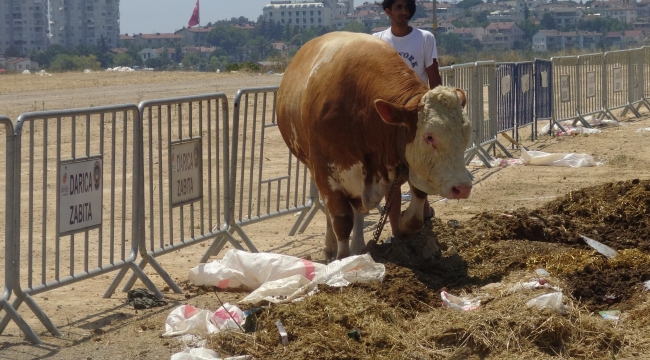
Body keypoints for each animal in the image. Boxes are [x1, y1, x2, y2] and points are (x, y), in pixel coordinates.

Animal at [274, 31, 470, 262]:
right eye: (429, 137)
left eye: (466, 133)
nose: (463, 187)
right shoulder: (325, 173)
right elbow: (341, 219)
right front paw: (343, 258)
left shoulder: (409, 167)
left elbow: (415, 213)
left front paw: (402, 224)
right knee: (334, 212)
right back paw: (331, 248)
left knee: (359, 210)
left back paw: (359, 247)